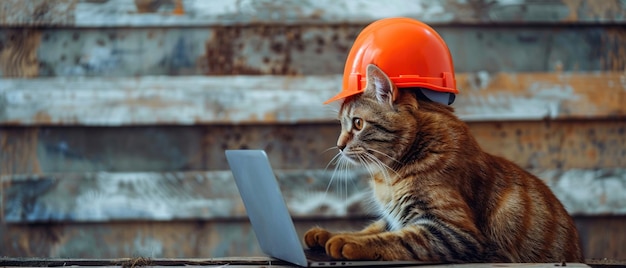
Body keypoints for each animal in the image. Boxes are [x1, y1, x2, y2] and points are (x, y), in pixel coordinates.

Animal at [304, 63, 584, 262]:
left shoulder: (453, 232)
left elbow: (393, 239)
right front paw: (326, 234)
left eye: (358, 123)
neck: (389, 176)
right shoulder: (394, 217)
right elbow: (371, 228)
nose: (339, 145)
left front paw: (347, 242)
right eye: (341, 125)